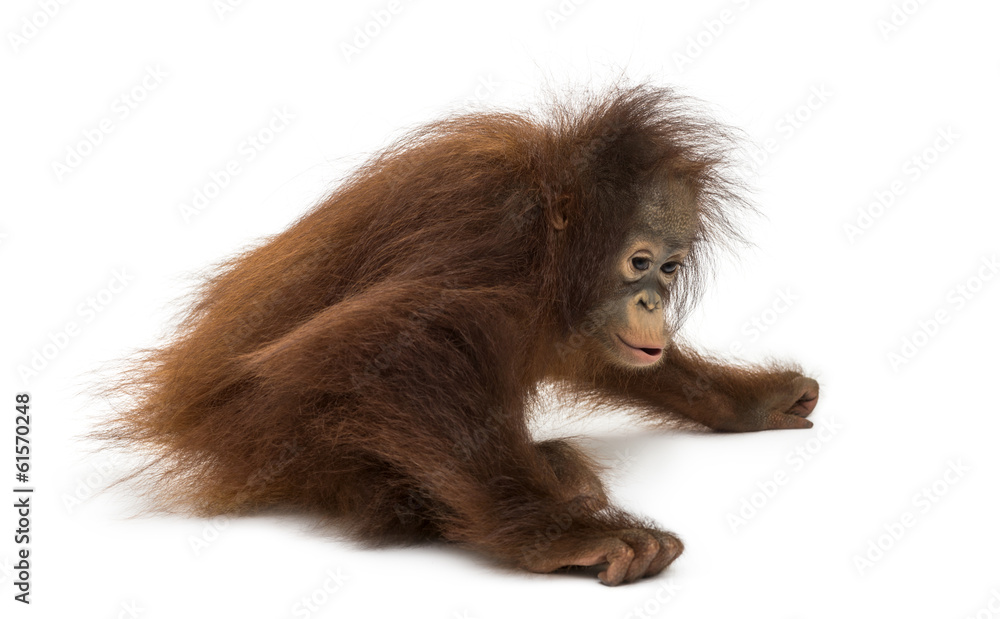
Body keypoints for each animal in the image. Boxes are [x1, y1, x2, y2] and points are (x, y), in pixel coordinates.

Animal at [97, 83, 819, 586]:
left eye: (671, 267)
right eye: (638, 262)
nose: (651, 300)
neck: (549, 238)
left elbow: (604, 352)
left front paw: (753, 402)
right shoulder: (490, 223)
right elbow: (390, 346)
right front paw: (558, 537)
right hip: (264, 442)